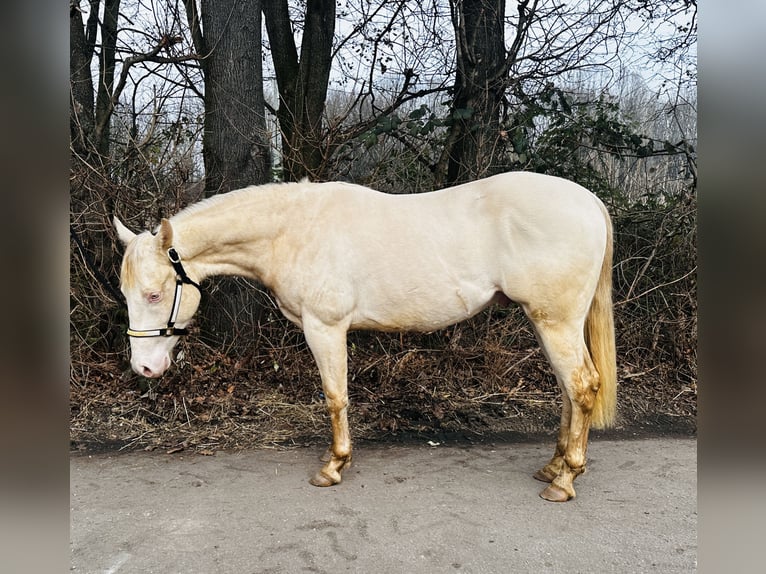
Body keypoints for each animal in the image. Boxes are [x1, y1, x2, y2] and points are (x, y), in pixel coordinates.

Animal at [115, 173, 616, 502]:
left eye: (154, 294)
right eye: (126, 292)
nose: (145, 367)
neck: (293, 230)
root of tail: (589, 202)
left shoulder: (325, 327)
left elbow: (335, 397)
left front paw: (334, 466)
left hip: (555, 322)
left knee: (582, 386)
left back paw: (565, 480)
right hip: (549, 323)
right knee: (570, 390)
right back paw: (553, 466)